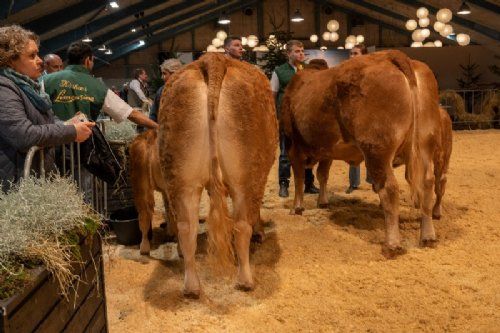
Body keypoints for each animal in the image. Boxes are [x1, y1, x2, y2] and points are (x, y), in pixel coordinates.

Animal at [159, 53, 278, 296]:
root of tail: (212, 59)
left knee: (187, 228)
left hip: (181, 177)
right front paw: (260, 232)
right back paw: (245, 280)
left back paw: (192, 287)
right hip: (246, 175)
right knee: (241, 226)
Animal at [282, 50, 450, 255]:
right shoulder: (327, 151)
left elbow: (298, 178)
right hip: (425, 144)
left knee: (390, 188)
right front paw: (322, 201)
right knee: (427, 183)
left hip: (377, 149)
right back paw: (427, 236)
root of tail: (392, 55)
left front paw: (296, 208)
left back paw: (392, 244)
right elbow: (323, 174)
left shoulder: (293, 146)